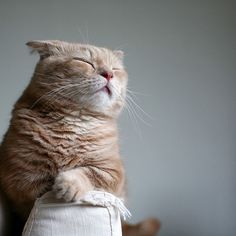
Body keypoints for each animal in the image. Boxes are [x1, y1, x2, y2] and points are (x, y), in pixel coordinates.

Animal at [0, 39, 160, 235]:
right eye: (84, 62)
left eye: (115, 69)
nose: (108, 74)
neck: (75, 122)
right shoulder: (20, 178)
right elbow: (43, 187)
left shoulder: (112, 172)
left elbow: (88, 172)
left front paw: (69, 183)